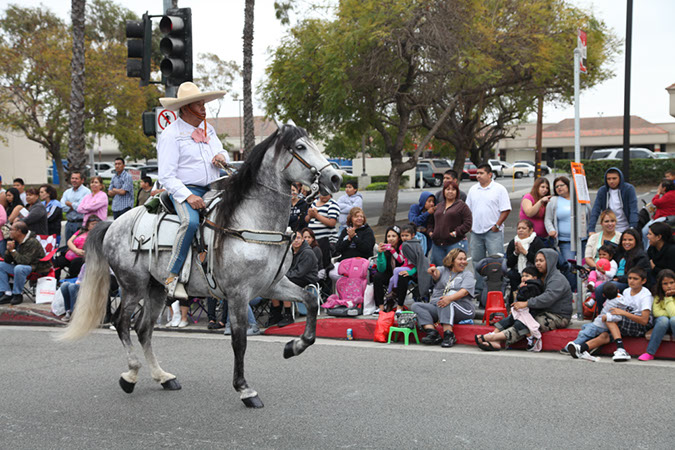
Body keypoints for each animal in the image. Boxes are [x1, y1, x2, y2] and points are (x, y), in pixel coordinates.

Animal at [59, 124, 344, 408]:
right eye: (300, 147)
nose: (335, 178)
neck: (252, 223)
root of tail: (113, 223)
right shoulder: (238, 294)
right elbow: (239, 341)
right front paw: (245, 389)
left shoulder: (271, 285)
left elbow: (310, 300)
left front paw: (293, 347)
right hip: (133, 286)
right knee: (121, 322)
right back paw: (130, 375)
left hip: (156, 289)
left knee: (143, 329)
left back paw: (163, 377)